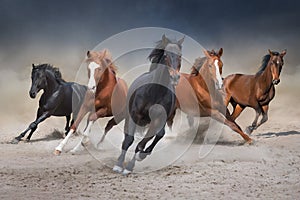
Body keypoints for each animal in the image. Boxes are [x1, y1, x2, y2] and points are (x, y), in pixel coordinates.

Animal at [112, 34, 183, 175]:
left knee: (158, 135)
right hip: (128, 116)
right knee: (126, 138)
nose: (175, 77)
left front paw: (132, 164)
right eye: (166, 55)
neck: (155, 91)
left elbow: (145, 142)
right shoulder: (134, 115)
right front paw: (118, 166)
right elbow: (128, 140)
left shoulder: (158, 119)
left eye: (180, 56)